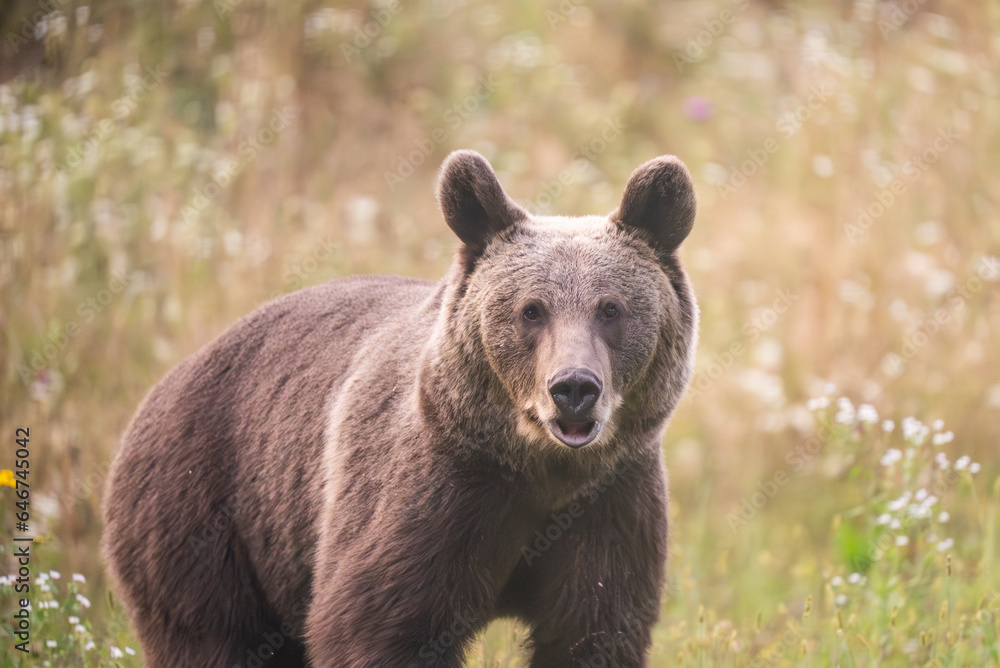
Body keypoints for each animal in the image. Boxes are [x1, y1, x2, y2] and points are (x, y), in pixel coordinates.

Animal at [99, 150, 696, 668]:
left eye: (610, 309)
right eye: (532, 310)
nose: (573, 387)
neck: (537, 472)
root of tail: (166, 384)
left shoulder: (609, 505)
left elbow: (592, 631)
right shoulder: (431, 493)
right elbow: (377, 624)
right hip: (207, 519)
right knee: (213, 638)